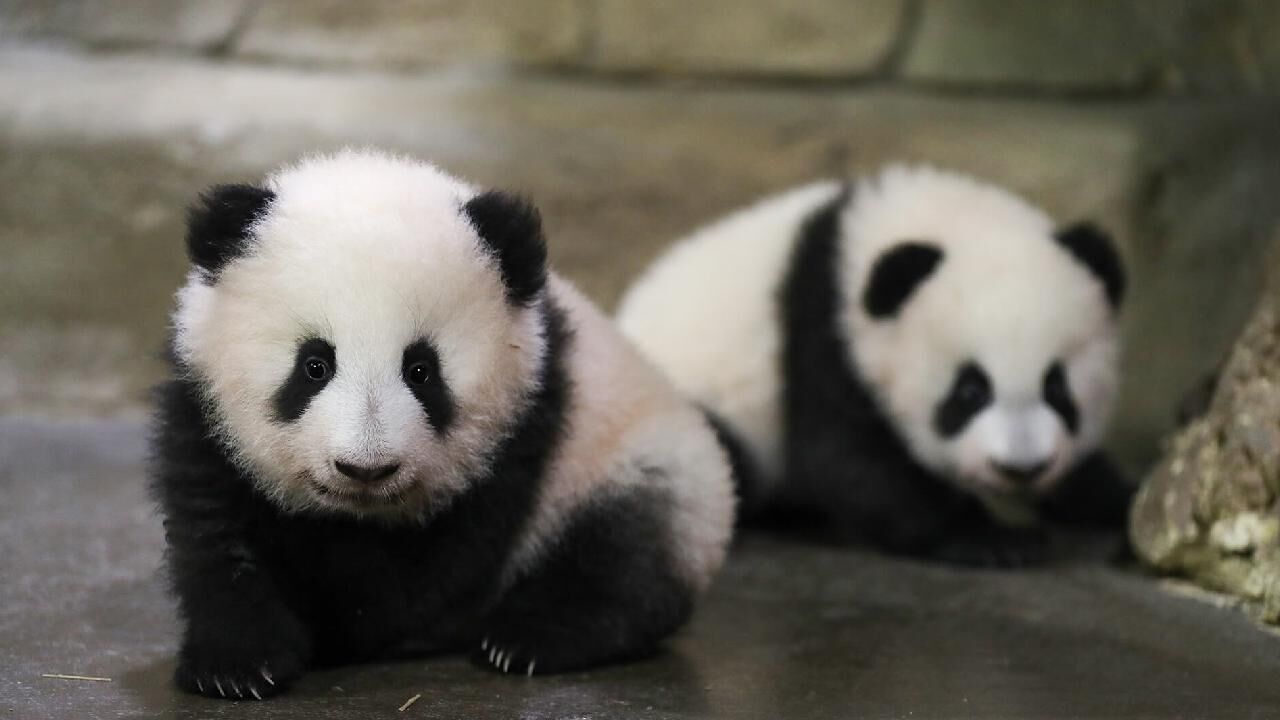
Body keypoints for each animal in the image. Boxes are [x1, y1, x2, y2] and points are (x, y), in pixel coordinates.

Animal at [151, 149, 734, 700]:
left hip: (634, 459)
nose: (365, 469)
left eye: (421, 370)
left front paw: (340, 627)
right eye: (314, 365)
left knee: (623, 553)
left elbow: (426, 573)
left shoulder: (524, 428)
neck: (356, 514)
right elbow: (216, 536)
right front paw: (237, 666)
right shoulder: (203, 417)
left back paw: (529, 637)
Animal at [616, 165, 1131, 567]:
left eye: (1058, 388)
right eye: (969, 391)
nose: (1021, 467)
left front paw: (1111, 499)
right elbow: (851, 461)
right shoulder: (824, 333)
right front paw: (994, 540)